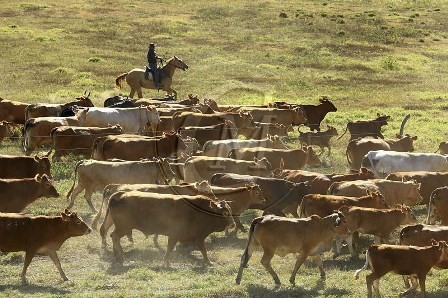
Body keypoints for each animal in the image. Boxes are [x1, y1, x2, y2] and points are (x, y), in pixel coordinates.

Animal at [100, 191, 234, 266]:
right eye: (225, 213)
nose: (233, 224)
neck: (199, 211)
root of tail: (119, 194)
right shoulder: (176, 235)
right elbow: (170, 248)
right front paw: (166, 261)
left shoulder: (198, 237)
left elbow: (203, 250)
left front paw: (208, 262)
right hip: (124, 227)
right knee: (114, 236)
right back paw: (120, 256)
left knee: (110, 234)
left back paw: (116, 254)